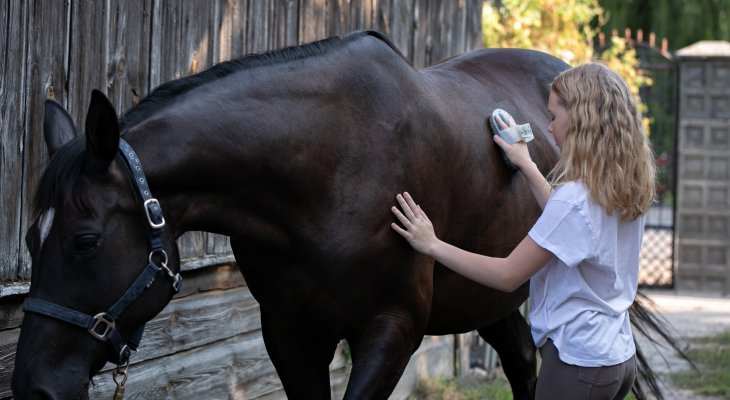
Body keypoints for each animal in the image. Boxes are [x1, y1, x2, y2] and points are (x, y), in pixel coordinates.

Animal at [11, 29, 672, 398]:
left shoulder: (392, 330)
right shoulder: (289, 334)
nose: (33, 388)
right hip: (494, 300)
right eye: (30, 241)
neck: (326, 170)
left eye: (85, 241)